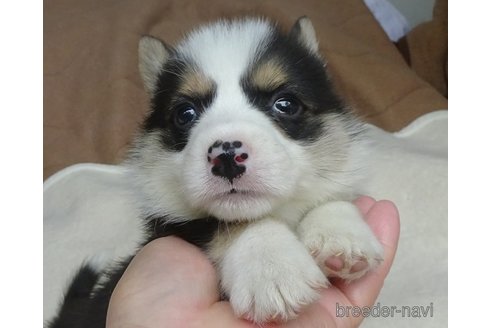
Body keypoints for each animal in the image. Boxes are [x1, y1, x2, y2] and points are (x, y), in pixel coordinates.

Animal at [48, 16, 382, 326]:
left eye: (285, 104)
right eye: (185, 113)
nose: (227, 157)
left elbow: (330, 196)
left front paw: (341, 238)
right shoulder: (178, 227)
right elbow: (236, 225)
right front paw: (272, 270)